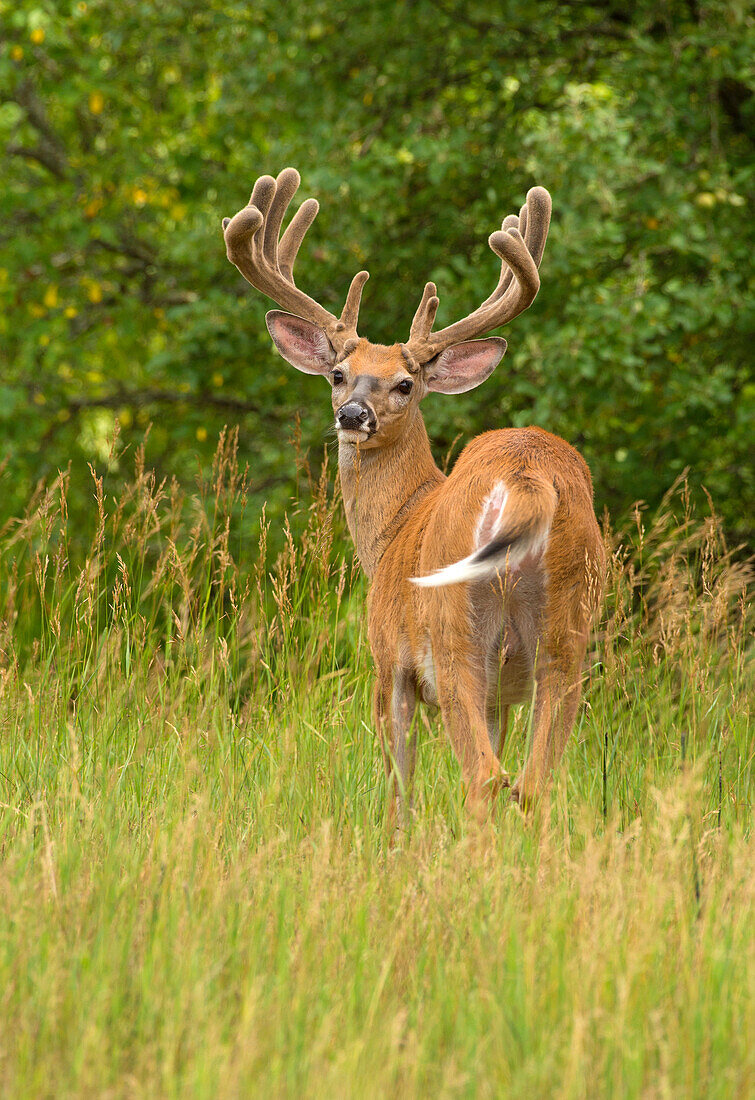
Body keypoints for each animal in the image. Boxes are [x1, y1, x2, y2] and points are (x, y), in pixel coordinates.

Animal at [222, 167, 607, 827]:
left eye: (405, 384)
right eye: (337, 375)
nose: (353, 415)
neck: (392, 527)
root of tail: (526, 476)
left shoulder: (388, 664)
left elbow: (398, 789)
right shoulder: (504, 696)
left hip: (456, 633)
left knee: (484, 777)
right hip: (568, 631)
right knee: (533, 783)